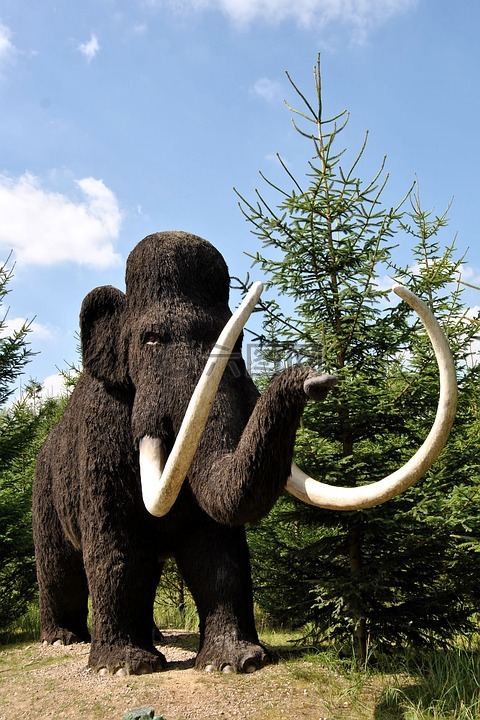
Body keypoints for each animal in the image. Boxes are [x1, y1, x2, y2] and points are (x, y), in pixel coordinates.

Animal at [33, 230, 457, 676]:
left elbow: (218, 549)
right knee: (59, 567)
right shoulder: (102, 433)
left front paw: (236, 662)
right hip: (43, 495)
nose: (316, 379)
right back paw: (62, 638)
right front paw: (122, 667)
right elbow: (116, 547)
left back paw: (154, 637)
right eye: (151, 340)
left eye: (237, 343)